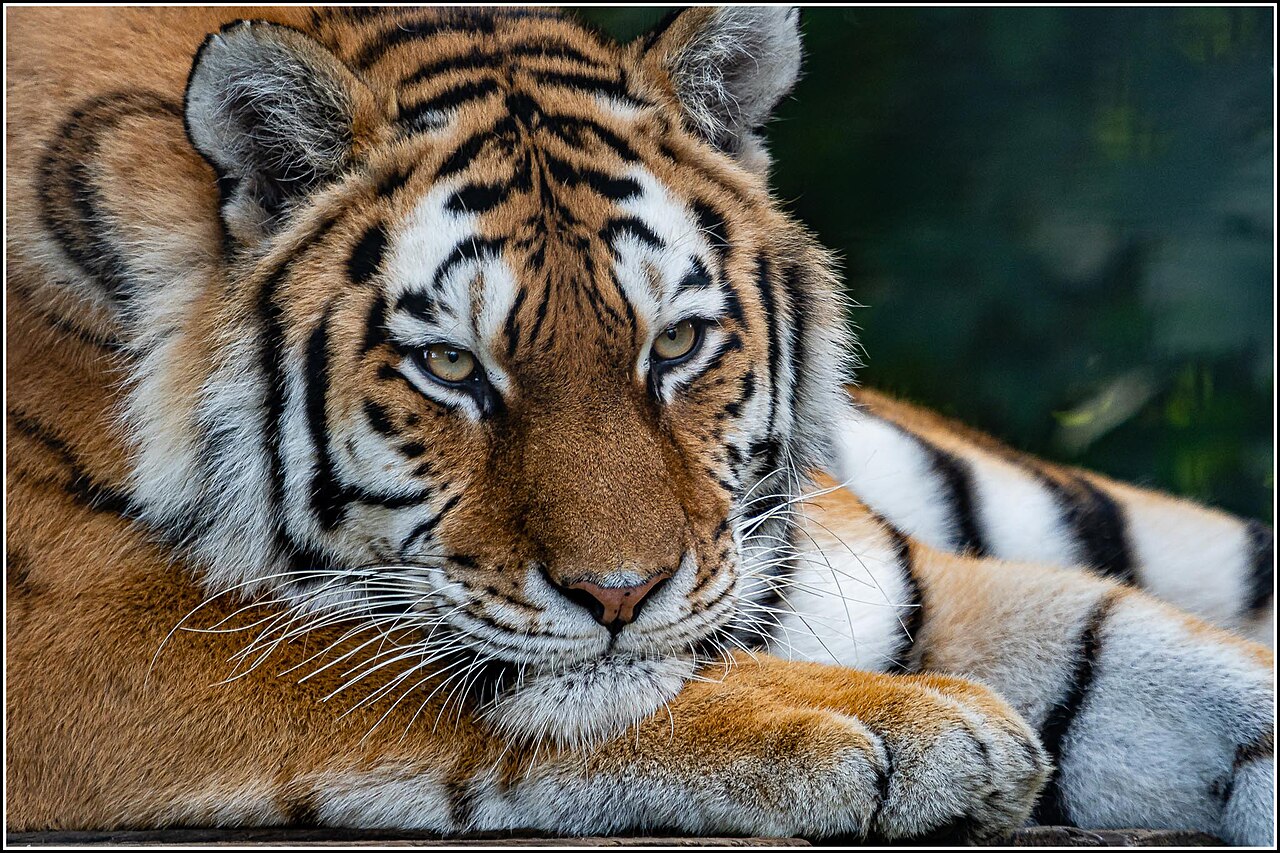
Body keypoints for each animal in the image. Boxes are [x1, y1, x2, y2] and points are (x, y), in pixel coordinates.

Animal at [5, 5, 1274, 844]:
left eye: (673, 345)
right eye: (451, 365)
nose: (620, 595)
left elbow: (1150, 653)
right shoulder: (87, 625)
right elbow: (454, 678)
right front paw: (913, 726)